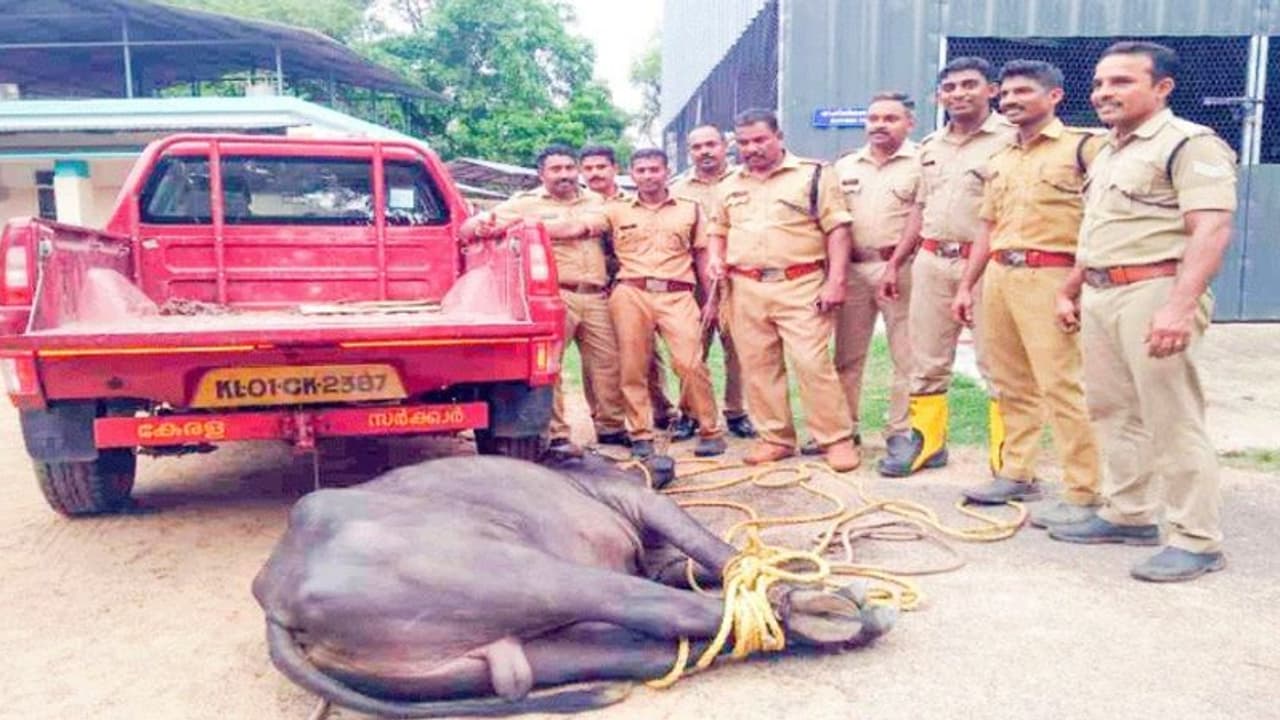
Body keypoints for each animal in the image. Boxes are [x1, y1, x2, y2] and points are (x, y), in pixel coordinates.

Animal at [252, 453, 895, 718]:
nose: (662, 459)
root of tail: (276, 593)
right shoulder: (639, 502)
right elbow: (708, 547)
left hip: (473, 650)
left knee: (627, 648)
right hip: (509, 569)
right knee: (656, 609)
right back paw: (831, 610)